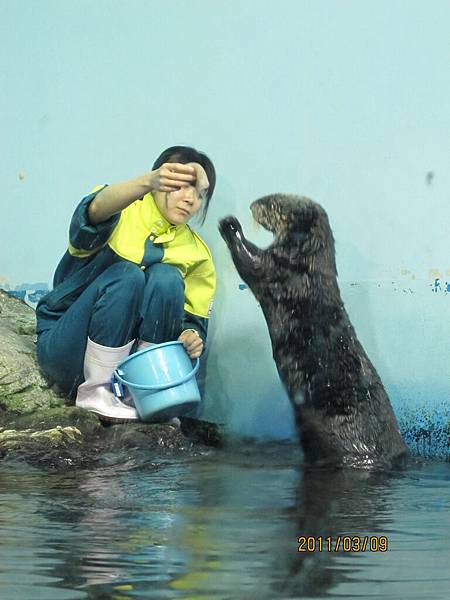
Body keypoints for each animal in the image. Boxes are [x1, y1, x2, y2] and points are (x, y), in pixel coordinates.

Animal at [220, 197, 410, 468]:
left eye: (273, 203)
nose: (253, 205)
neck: (308, 259)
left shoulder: (283, 268)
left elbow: (251, 261)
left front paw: (230, 225)